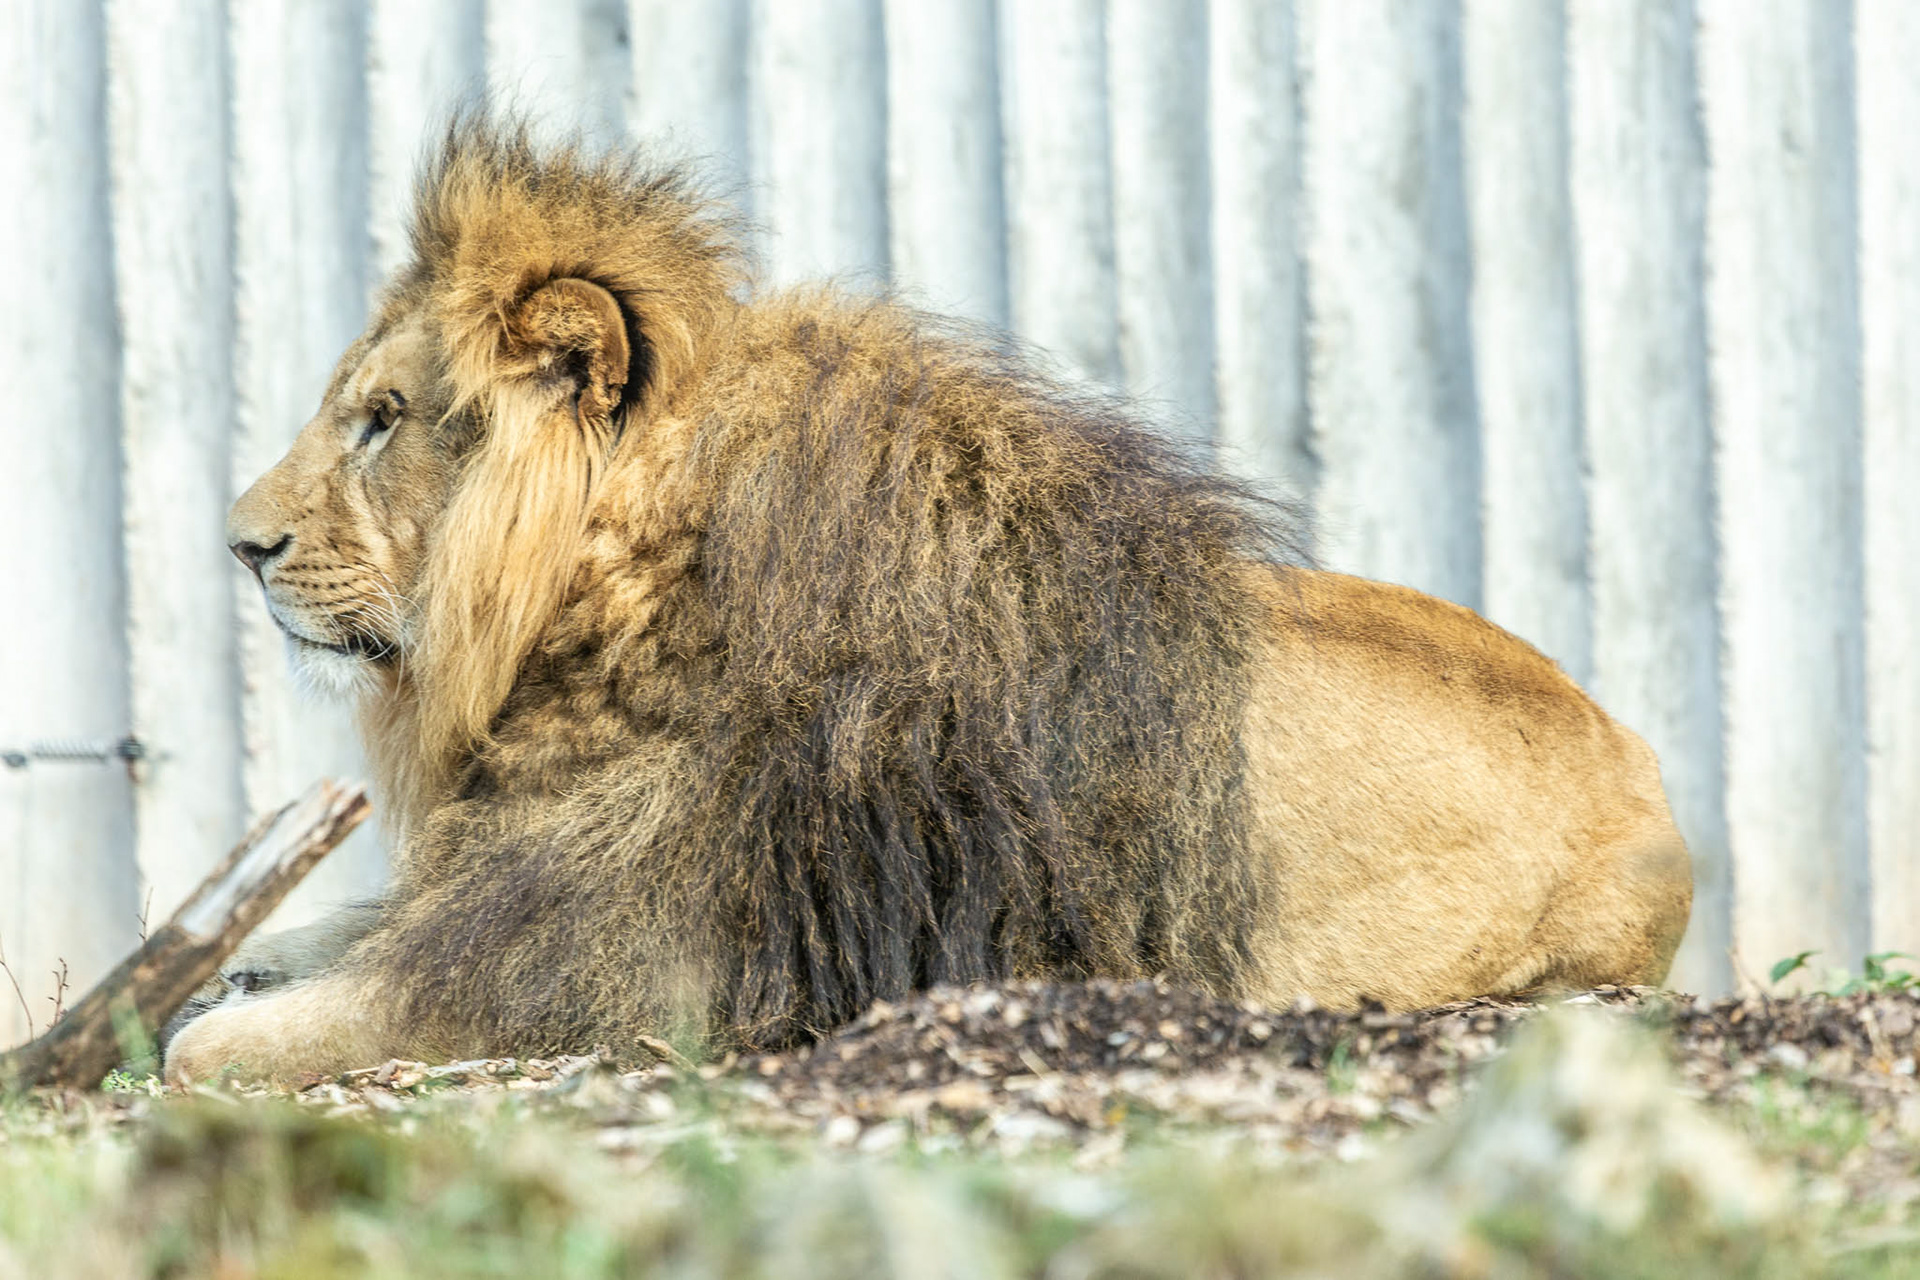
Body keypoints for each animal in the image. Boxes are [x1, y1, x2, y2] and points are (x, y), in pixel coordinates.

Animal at [163, 118, 1691, 1083]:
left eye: (380, 419)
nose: (237, 544)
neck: (588, 620)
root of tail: (1646, 766)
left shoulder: (622, 961)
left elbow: (261, 1038)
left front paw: (214, 1019)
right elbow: (345, 929)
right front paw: (249, 954)